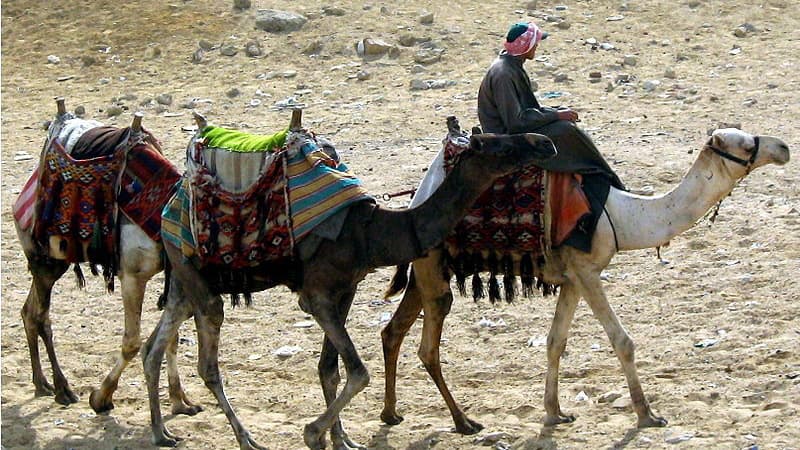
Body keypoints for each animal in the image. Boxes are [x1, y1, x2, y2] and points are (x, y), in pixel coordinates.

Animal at [13, 98, 201, 417]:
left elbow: (172, 338)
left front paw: (180, 401)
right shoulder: (132, 276)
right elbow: (133, 342)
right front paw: (101, 397)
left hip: (55, 261)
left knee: (30, 312)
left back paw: (42, 384)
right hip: (42, 257)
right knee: (40, 315)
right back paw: (62, 389)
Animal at [141, 115, 557, 449]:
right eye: (502, 144)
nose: (545, 143)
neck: (371, 233)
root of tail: (169, 205)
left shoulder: (346, 289)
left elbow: (330, 367)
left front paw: (342, 438)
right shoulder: (315, 296)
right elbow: (357, 371)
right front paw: (314, 433)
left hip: (186, 280)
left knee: (154, 346)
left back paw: (162, 432)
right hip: (195, 276)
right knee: (207, 362)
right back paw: (246, 439)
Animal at [379, 128, 790, 434]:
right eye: (747, 145)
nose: (784, 147)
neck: (622, 215)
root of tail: (416, 197)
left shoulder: (572, 280)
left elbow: (555, 342)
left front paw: (555, 412)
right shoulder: (588, 271)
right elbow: (622, 341)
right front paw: (647, 415)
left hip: (425, 271)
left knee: (393, 330)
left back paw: (391, 414)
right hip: (433, 270)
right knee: (428, 347)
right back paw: (463, 422)